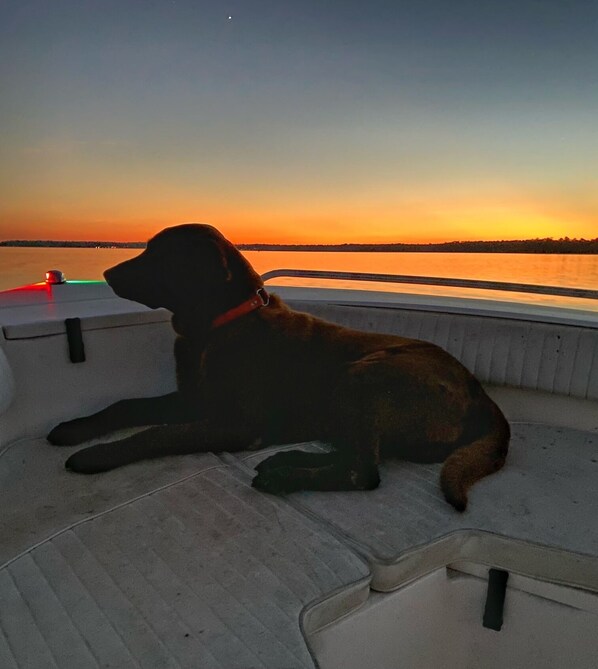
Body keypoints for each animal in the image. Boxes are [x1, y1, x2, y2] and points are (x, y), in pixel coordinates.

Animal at [48, 224, 510, 512]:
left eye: (161, 255)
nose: (106, 272)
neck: (218, 326)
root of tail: (479, 391)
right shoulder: (191, 399)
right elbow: (125, 406)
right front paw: (75, 428)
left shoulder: (233, 422)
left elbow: (156, 434)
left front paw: (98, 454)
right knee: (352, 453)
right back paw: (285, 457)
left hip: (363, 376)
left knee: (363, 471)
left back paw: (283, 475)